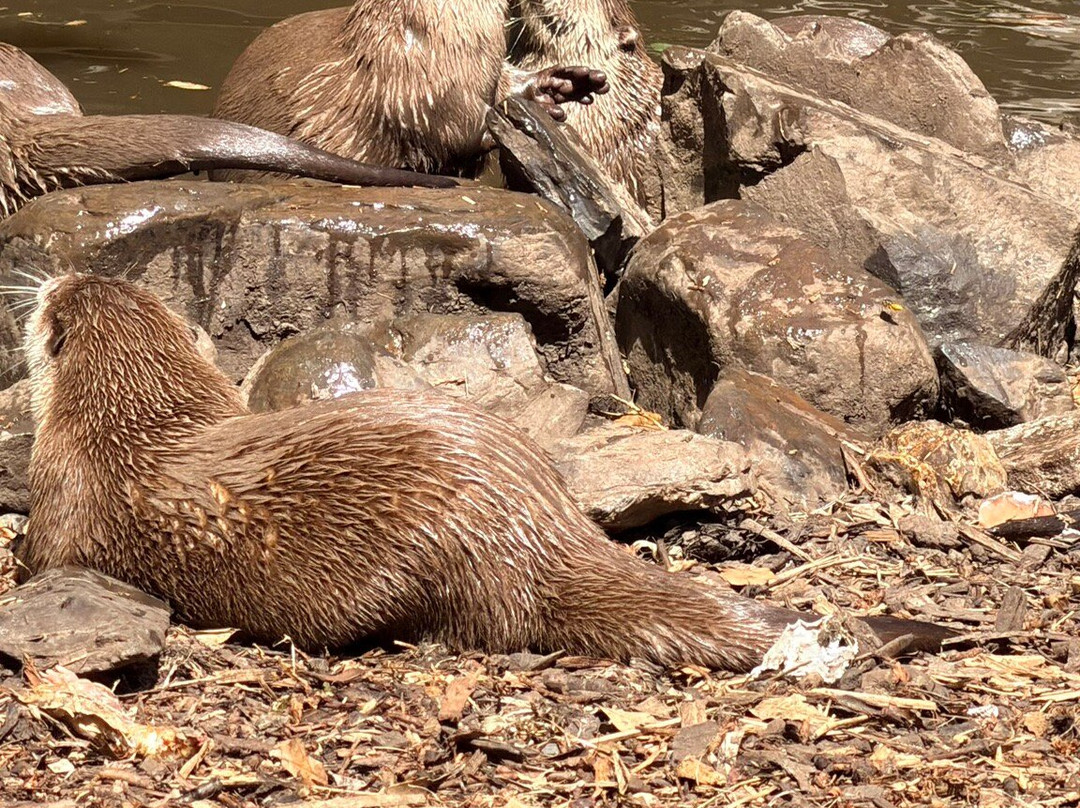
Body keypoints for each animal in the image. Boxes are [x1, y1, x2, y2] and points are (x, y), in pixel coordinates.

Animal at [17, 273, 948, 671]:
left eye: (47, 300)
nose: (53, 276)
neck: (137, 419)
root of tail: (543, 529)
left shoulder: (66, 496)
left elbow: (41, 560)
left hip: (432, 561)